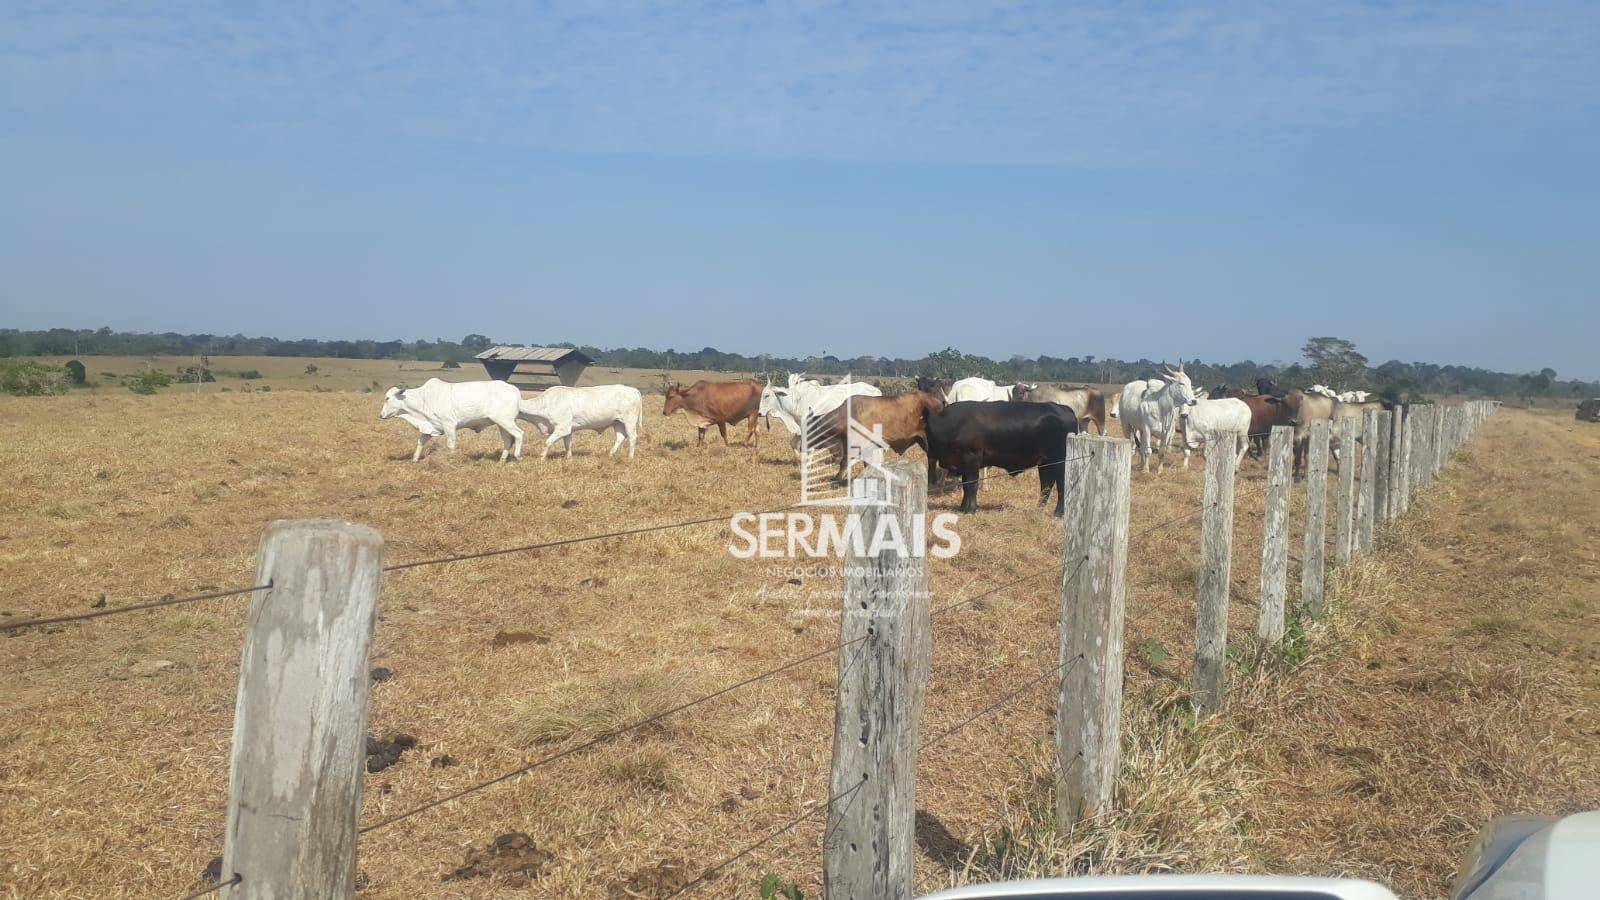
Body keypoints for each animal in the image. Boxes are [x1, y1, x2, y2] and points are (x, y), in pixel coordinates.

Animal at [379, 377, 524, 461]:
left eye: (387, 398)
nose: (380, 415)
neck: (424, 399)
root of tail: (514, 388)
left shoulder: (449, 424)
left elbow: (451, 444)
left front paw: (451, 459)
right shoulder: (430, 427)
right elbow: (420, 442)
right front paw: (414, 459)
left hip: (505, 421)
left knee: (519, 434)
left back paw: (517, 456)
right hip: (501, 423)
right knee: (507, 440)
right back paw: (502, 460)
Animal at [928, 397, 1075, 512]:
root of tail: (1063, 408)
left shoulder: (971, 458)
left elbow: (971, 485)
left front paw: (970, 510)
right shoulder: (964, 463)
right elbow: (965, 485)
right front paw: (963, 508)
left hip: (1060, 461)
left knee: (1061, 484)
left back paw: (1058, 513)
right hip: (1045, 461)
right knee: (1046, 484)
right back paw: (1038, 510)